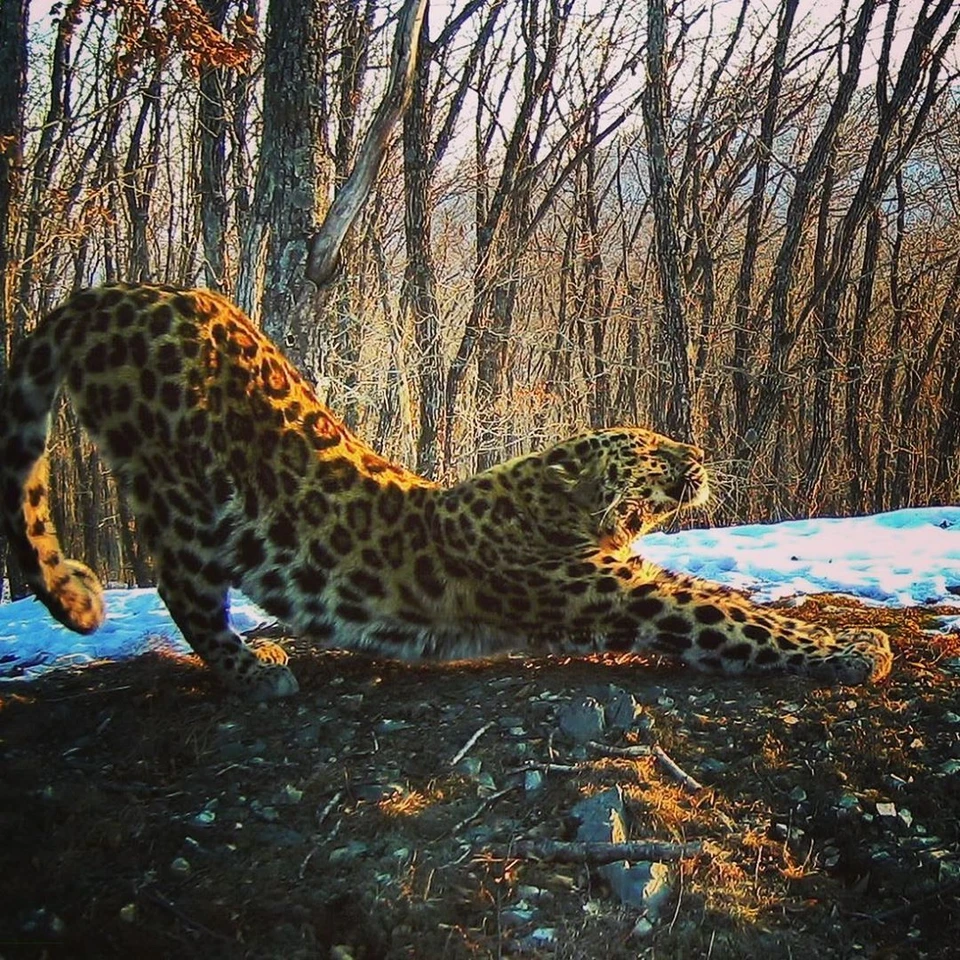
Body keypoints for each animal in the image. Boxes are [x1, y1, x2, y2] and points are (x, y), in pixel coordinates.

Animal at [0, 284, 896, 696]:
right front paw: (858, 649)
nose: (699, 449)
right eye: (645, 447)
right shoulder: (622, 594)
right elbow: (739, 620)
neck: (555, 503)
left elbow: (744, 606)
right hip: (182, 488)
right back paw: (253, 668)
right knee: (184, 586)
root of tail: (113, 292)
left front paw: (852, 637)